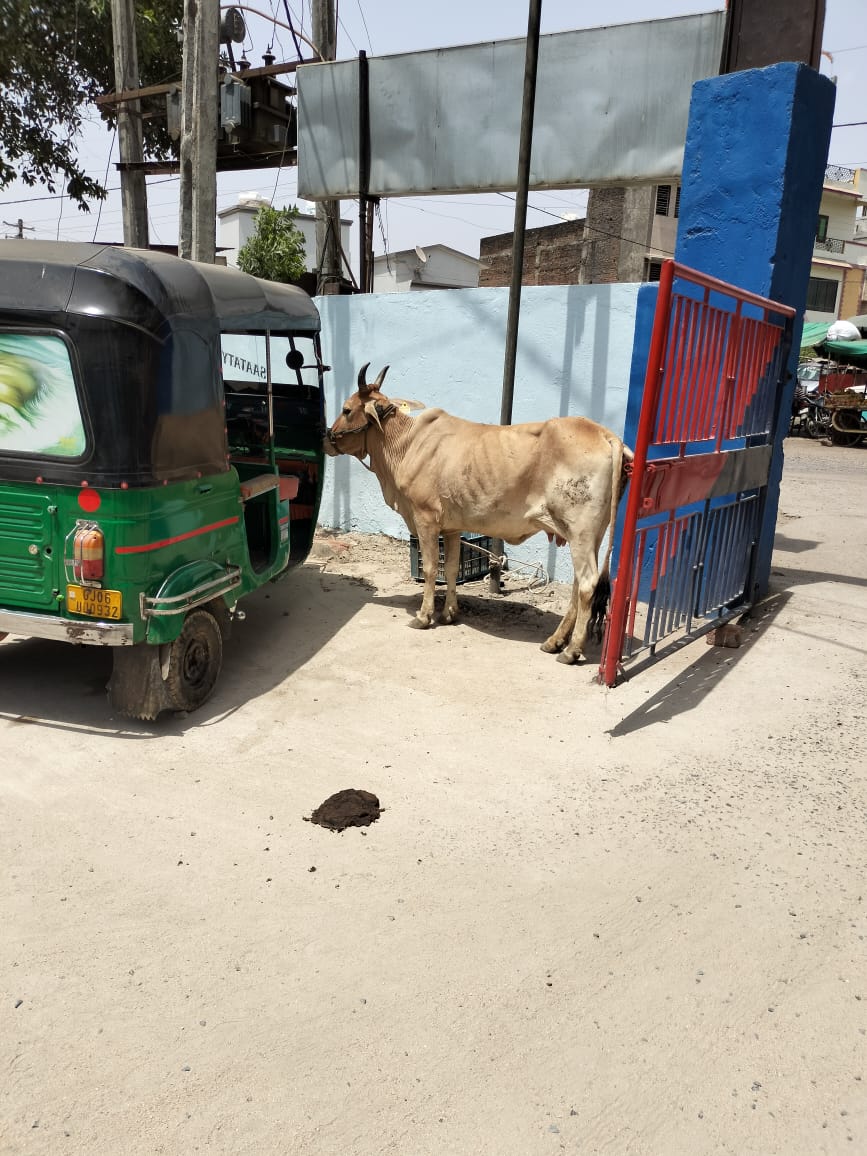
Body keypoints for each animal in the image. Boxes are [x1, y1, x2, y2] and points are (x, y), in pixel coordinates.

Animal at [324, 364, 633, 664]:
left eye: (347, 410)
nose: (326, 437)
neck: (406, 444)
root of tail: (605, 435)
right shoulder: (451, 527)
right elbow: (450, 567)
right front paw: (449, 613)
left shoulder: (425, 518)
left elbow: (430, 568)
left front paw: (424, 616)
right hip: (591, 534)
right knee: (579, 584)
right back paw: (554, 642)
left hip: (581, 531)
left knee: (587, 584)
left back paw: (571, 650)